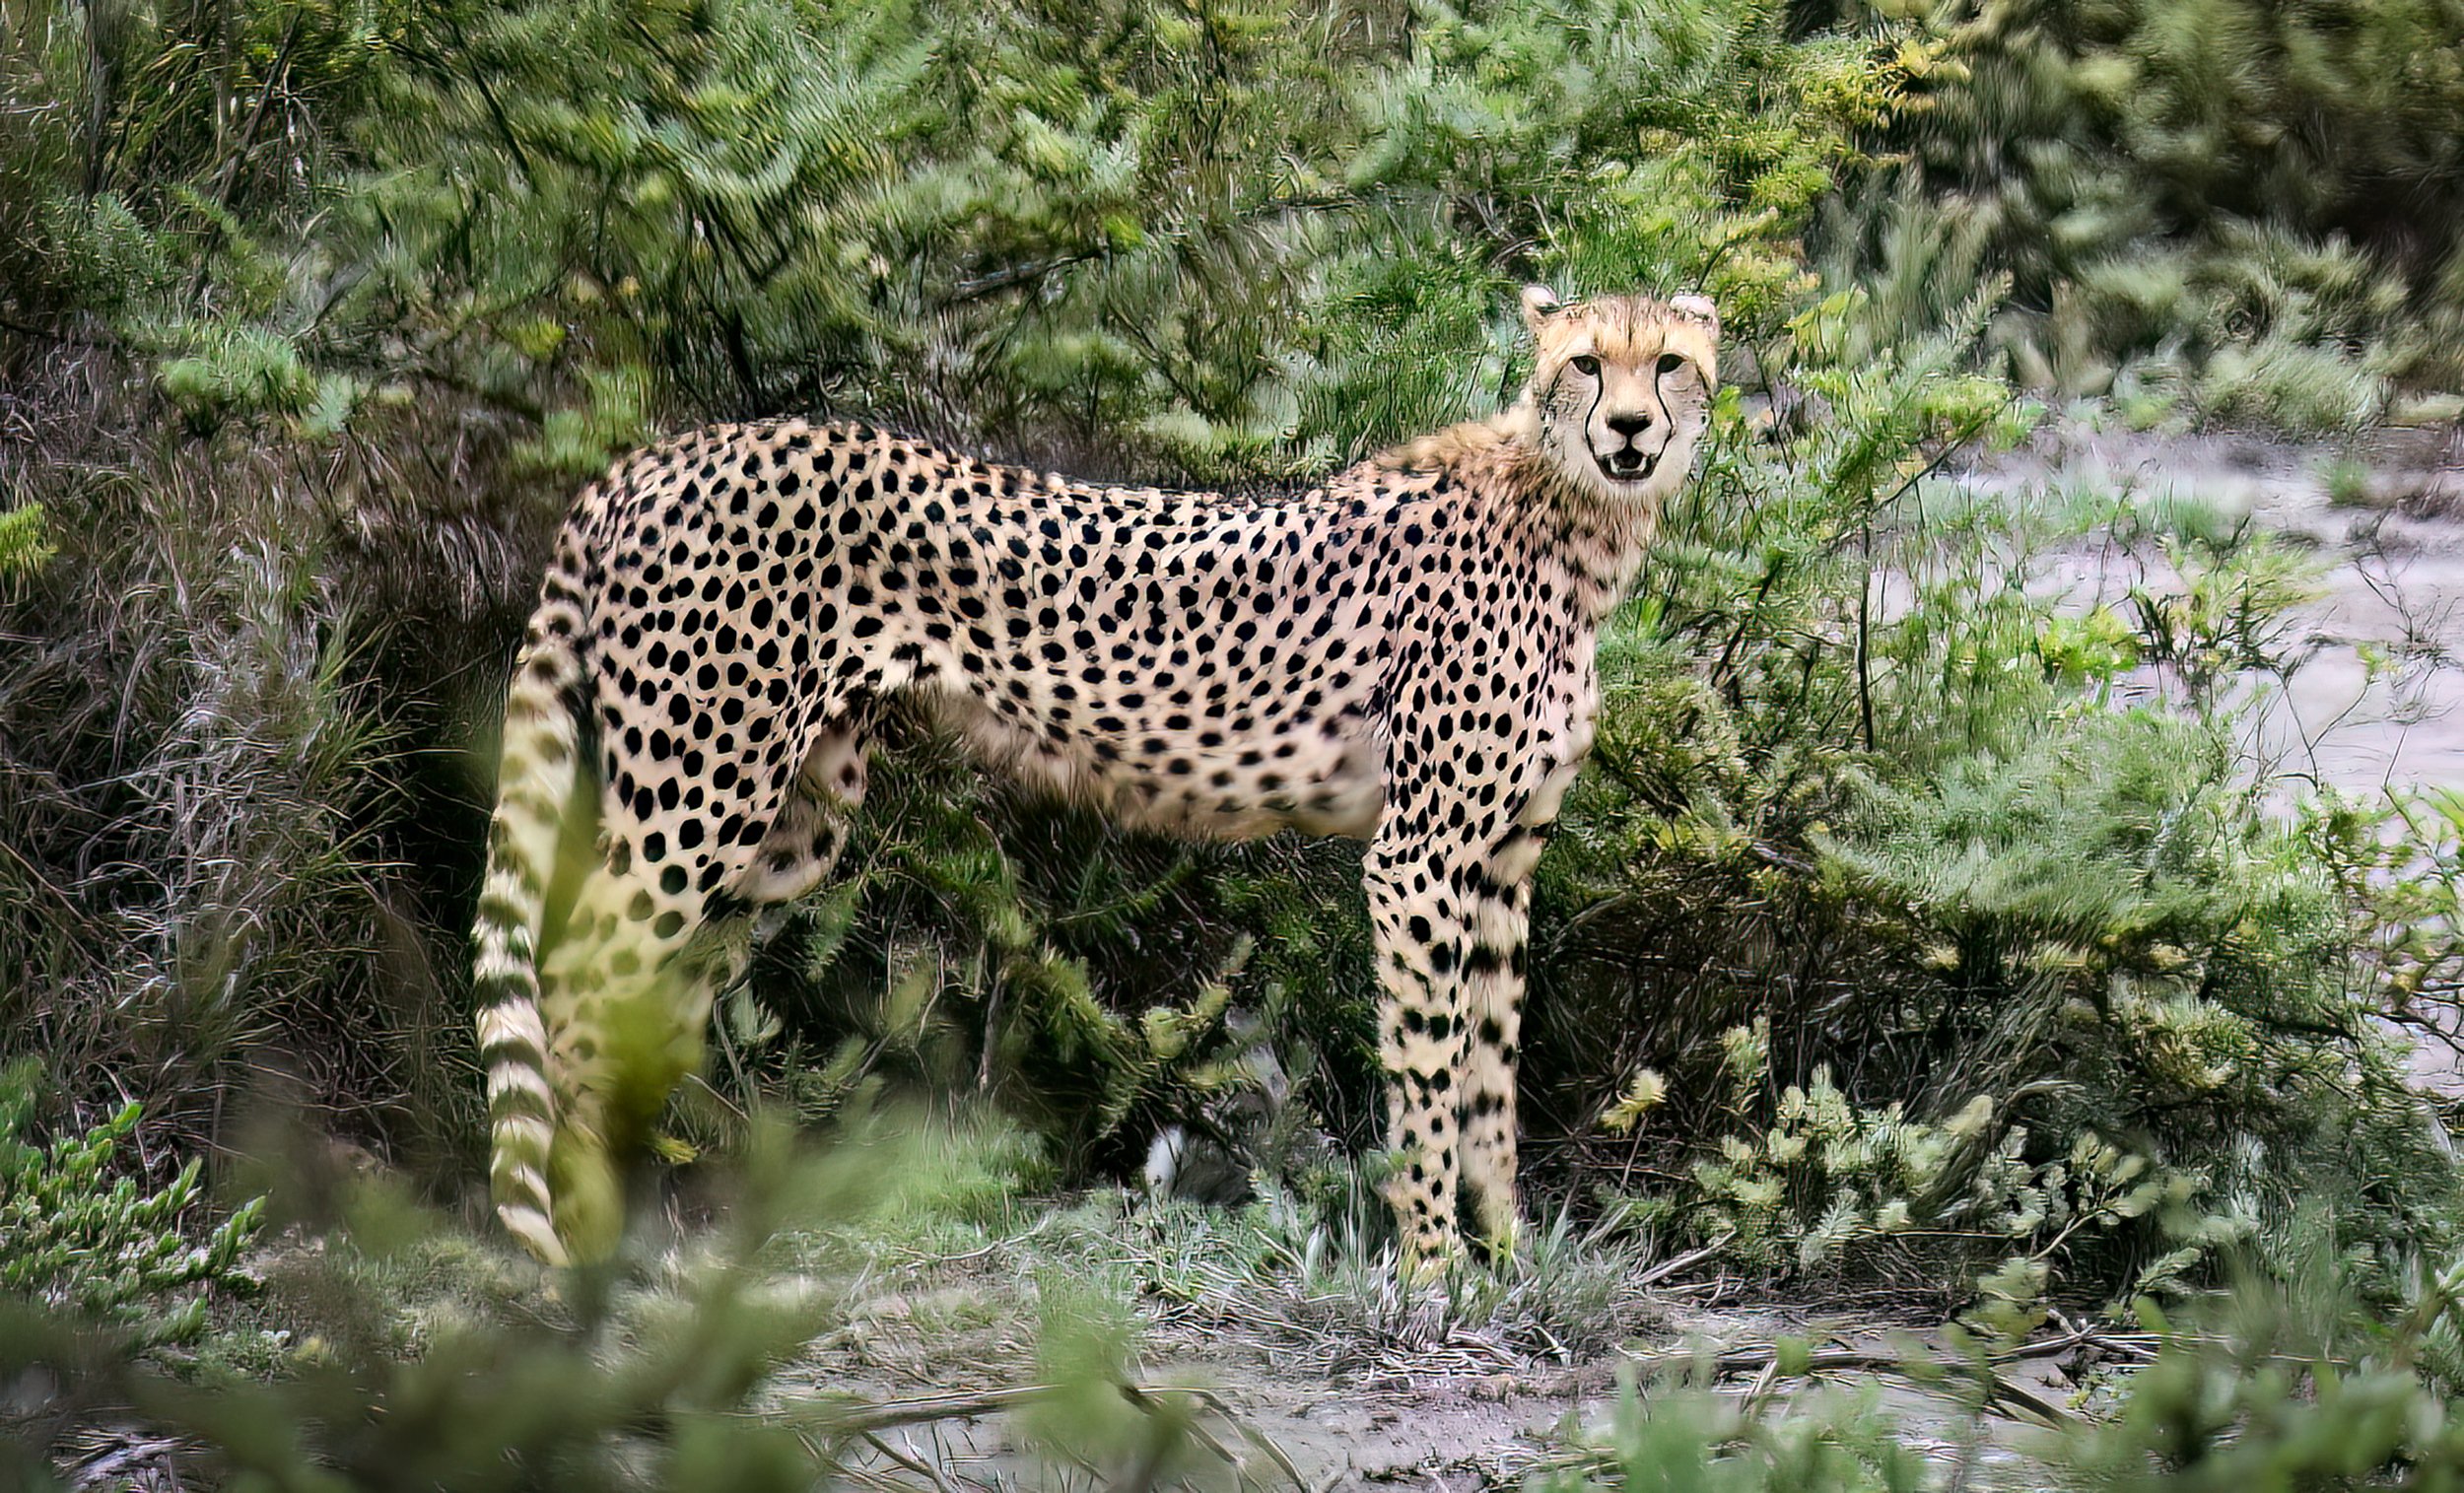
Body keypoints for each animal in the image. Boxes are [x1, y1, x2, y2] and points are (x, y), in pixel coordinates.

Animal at [472, 283, 1720, 1270]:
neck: (1572, 513)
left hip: (791, 826)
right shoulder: (1418, 860)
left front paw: (1507, 1260)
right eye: (1583, 363)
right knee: (570, 985)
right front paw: (1430, 1275)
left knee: (647, 997)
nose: (1627, 429)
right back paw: (590, 1250)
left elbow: (1489, 1082)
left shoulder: (1502, 863)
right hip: (700, 791)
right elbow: (1426, 1078)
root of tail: (659, 454)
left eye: (1667, 363)